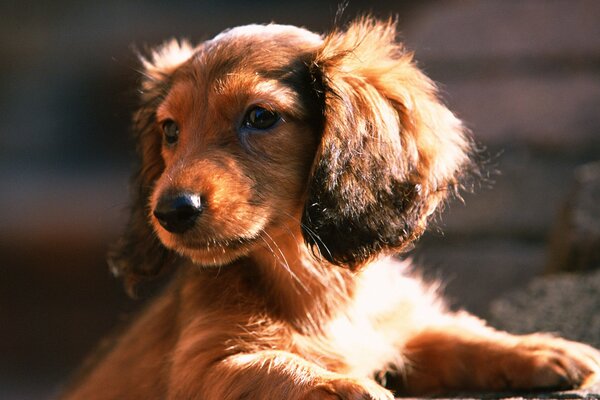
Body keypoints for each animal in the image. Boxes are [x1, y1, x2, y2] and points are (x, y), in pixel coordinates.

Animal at [62, 18, 600, 400]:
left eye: (260, 117)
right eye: (170, 130)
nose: (171, 211)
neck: (316, 282)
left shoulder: (397, 330)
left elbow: (454, 335)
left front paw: (537, 347)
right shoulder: (202, 365)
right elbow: (273, 367)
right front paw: (344, 384)